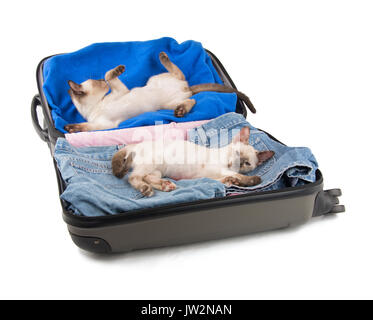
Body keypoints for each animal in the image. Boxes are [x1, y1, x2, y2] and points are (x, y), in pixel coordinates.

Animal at [64, 52, 256, 132]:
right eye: (97, 82)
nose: (101, 81)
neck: (96, 107)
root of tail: (186, 88)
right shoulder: (104, 126)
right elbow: (84, 127)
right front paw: (70, 128)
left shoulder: (120, 90)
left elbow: (109, 73)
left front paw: (118, 70)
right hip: (167, 103)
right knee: (191, 99)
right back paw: (181, 111)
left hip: (155, 79)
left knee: (180, 74)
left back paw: (162, 55)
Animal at [111, 126, 274, 196]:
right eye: (237, 153)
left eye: (247, 163)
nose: (238, 163)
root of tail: (135, 145)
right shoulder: (222, 169)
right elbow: (241, 177)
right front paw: (252, 180)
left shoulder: (213, 175)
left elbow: (225, 179)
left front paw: (232, 182)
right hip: (152, 163)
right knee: (134, 178)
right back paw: (147, 189)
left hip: (157, 171)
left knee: (147, 177)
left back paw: (166, 185)